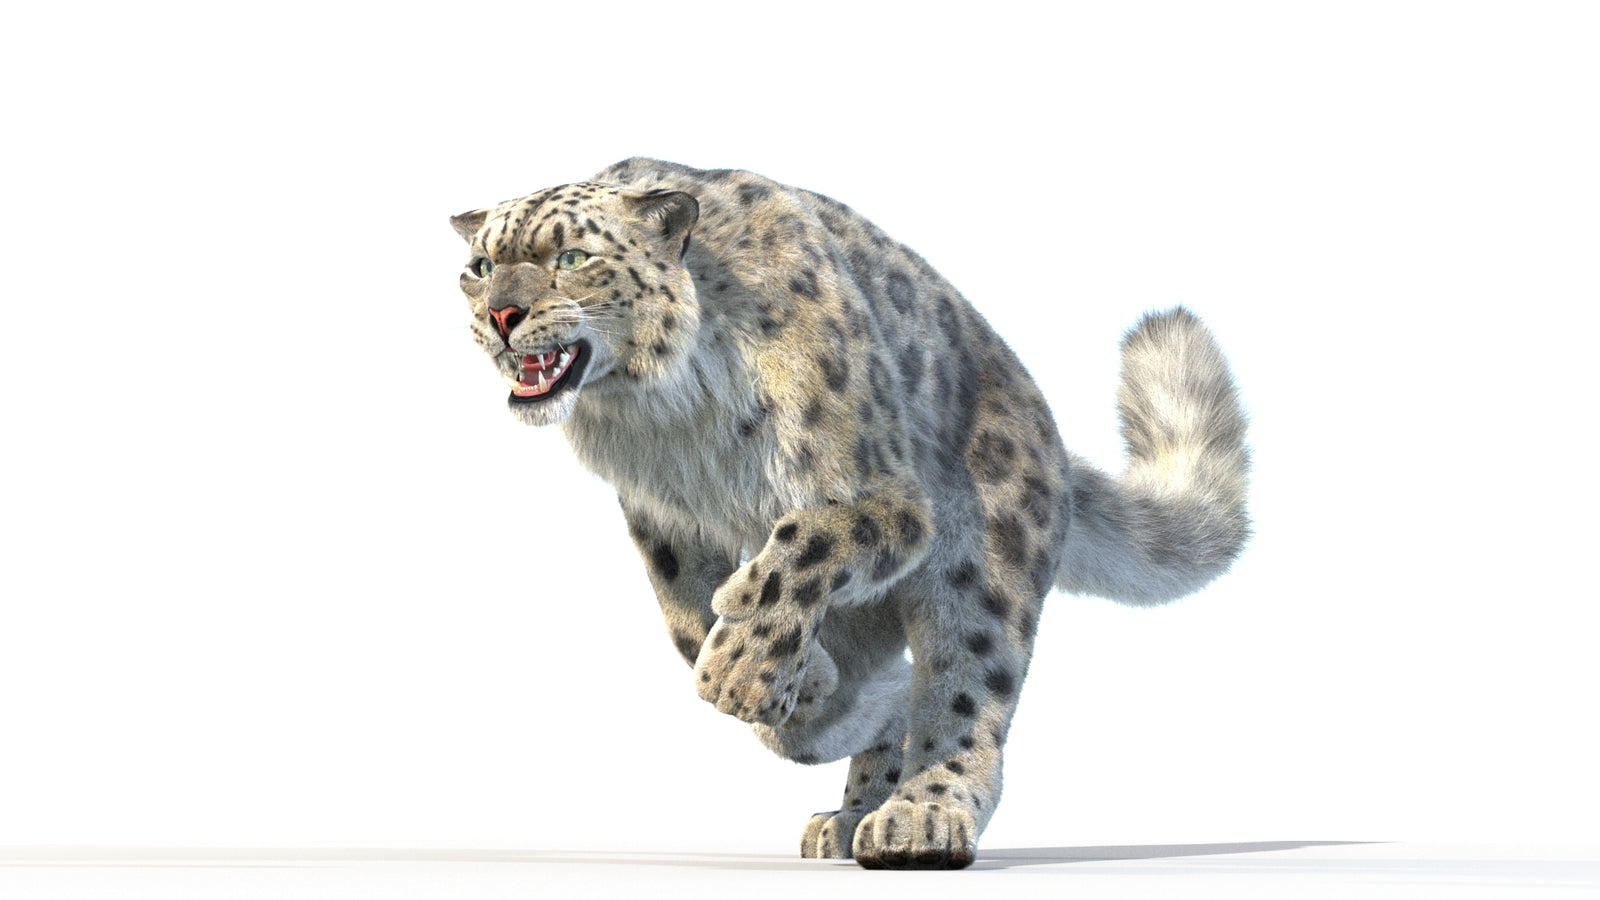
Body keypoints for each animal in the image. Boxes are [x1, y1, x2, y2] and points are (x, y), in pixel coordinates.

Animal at [447, 158, 1250, 869]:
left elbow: (804, 539)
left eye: (572, 257)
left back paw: (920, 817)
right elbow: (683, 616)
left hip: (984, 567)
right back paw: (850, 794)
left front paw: (744, 669)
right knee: (879, 702)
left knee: (964, 691)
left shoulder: (882, 492)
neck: (664, 414)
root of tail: (1046, 434)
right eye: (481, 266)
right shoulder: (662, 514)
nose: (501, 315)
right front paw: (788, 675)